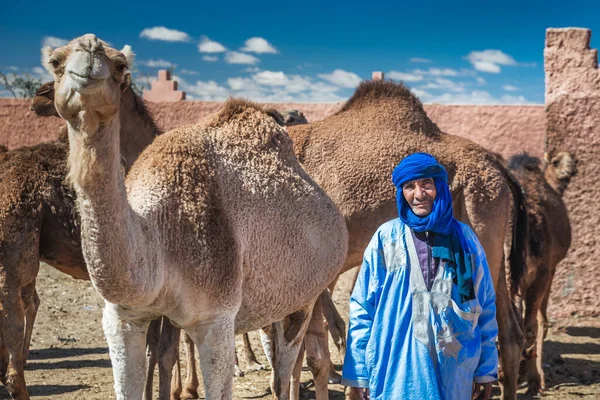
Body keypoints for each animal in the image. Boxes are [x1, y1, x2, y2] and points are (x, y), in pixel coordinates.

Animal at [43, 35, 346, 400]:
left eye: (121, 67)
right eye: (55, 62)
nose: (89, 49)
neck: (159, 237)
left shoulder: (215, 318)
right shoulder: (122, 318)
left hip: (306, 296)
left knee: (287, 364)